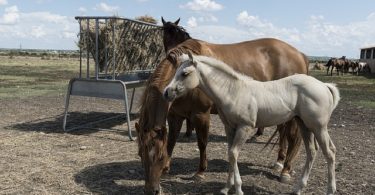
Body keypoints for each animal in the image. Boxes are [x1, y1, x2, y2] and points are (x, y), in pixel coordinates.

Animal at [135, 20, 308, 194]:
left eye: (159, 156)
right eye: (140, 154)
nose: (151, 190)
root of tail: (300, 54)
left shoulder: (201, 115)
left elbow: (202, 143)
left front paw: (200, 172)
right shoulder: (175, 115)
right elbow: (171, 141)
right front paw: (166, 168)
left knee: (292, 137)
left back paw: (285, 170)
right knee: (283, 132)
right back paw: (279, 162)